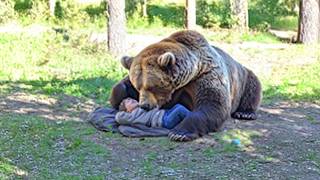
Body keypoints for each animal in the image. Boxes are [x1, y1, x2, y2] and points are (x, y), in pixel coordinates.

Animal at [109, 30, 262, 141]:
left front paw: (179, 133)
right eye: (138, 87)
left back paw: (245, 113)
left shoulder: (206, 75)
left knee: (253, 86)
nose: (145, 106)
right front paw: (120, 94)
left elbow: (213, 104)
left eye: (152, 87)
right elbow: (121, 87)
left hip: (243, 77)